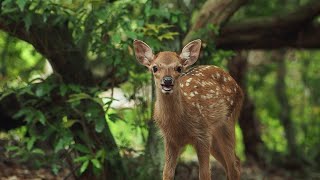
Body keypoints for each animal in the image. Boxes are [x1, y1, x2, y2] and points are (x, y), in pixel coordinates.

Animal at [133, 39, 242, 179]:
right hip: (214, 134)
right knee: (233, 163)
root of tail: (238, 86)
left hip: (228, 122)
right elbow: (167, 174)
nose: (167, 80)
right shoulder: (170, 140)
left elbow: (205, 174)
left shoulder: (202, 134)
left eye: (179, 68)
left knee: (233, 166)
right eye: (155, 68)